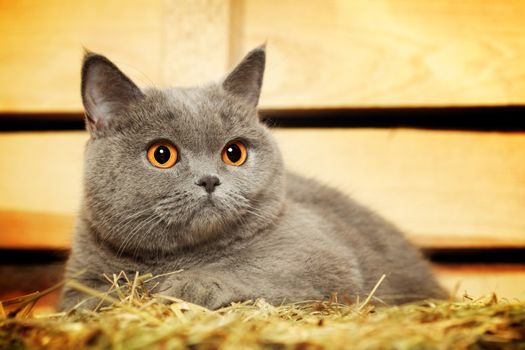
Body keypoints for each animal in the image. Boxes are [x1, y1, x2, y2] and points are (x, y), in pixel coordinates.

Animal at [61, 45, 446, 308]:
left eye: (234, 152)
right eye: (161, 154)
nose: (210, 180)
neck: (181, 257)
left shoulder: (325, 259)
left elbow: (255, 270)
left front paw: (190, 286)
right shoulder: (78, 280)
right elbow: (88, 299)